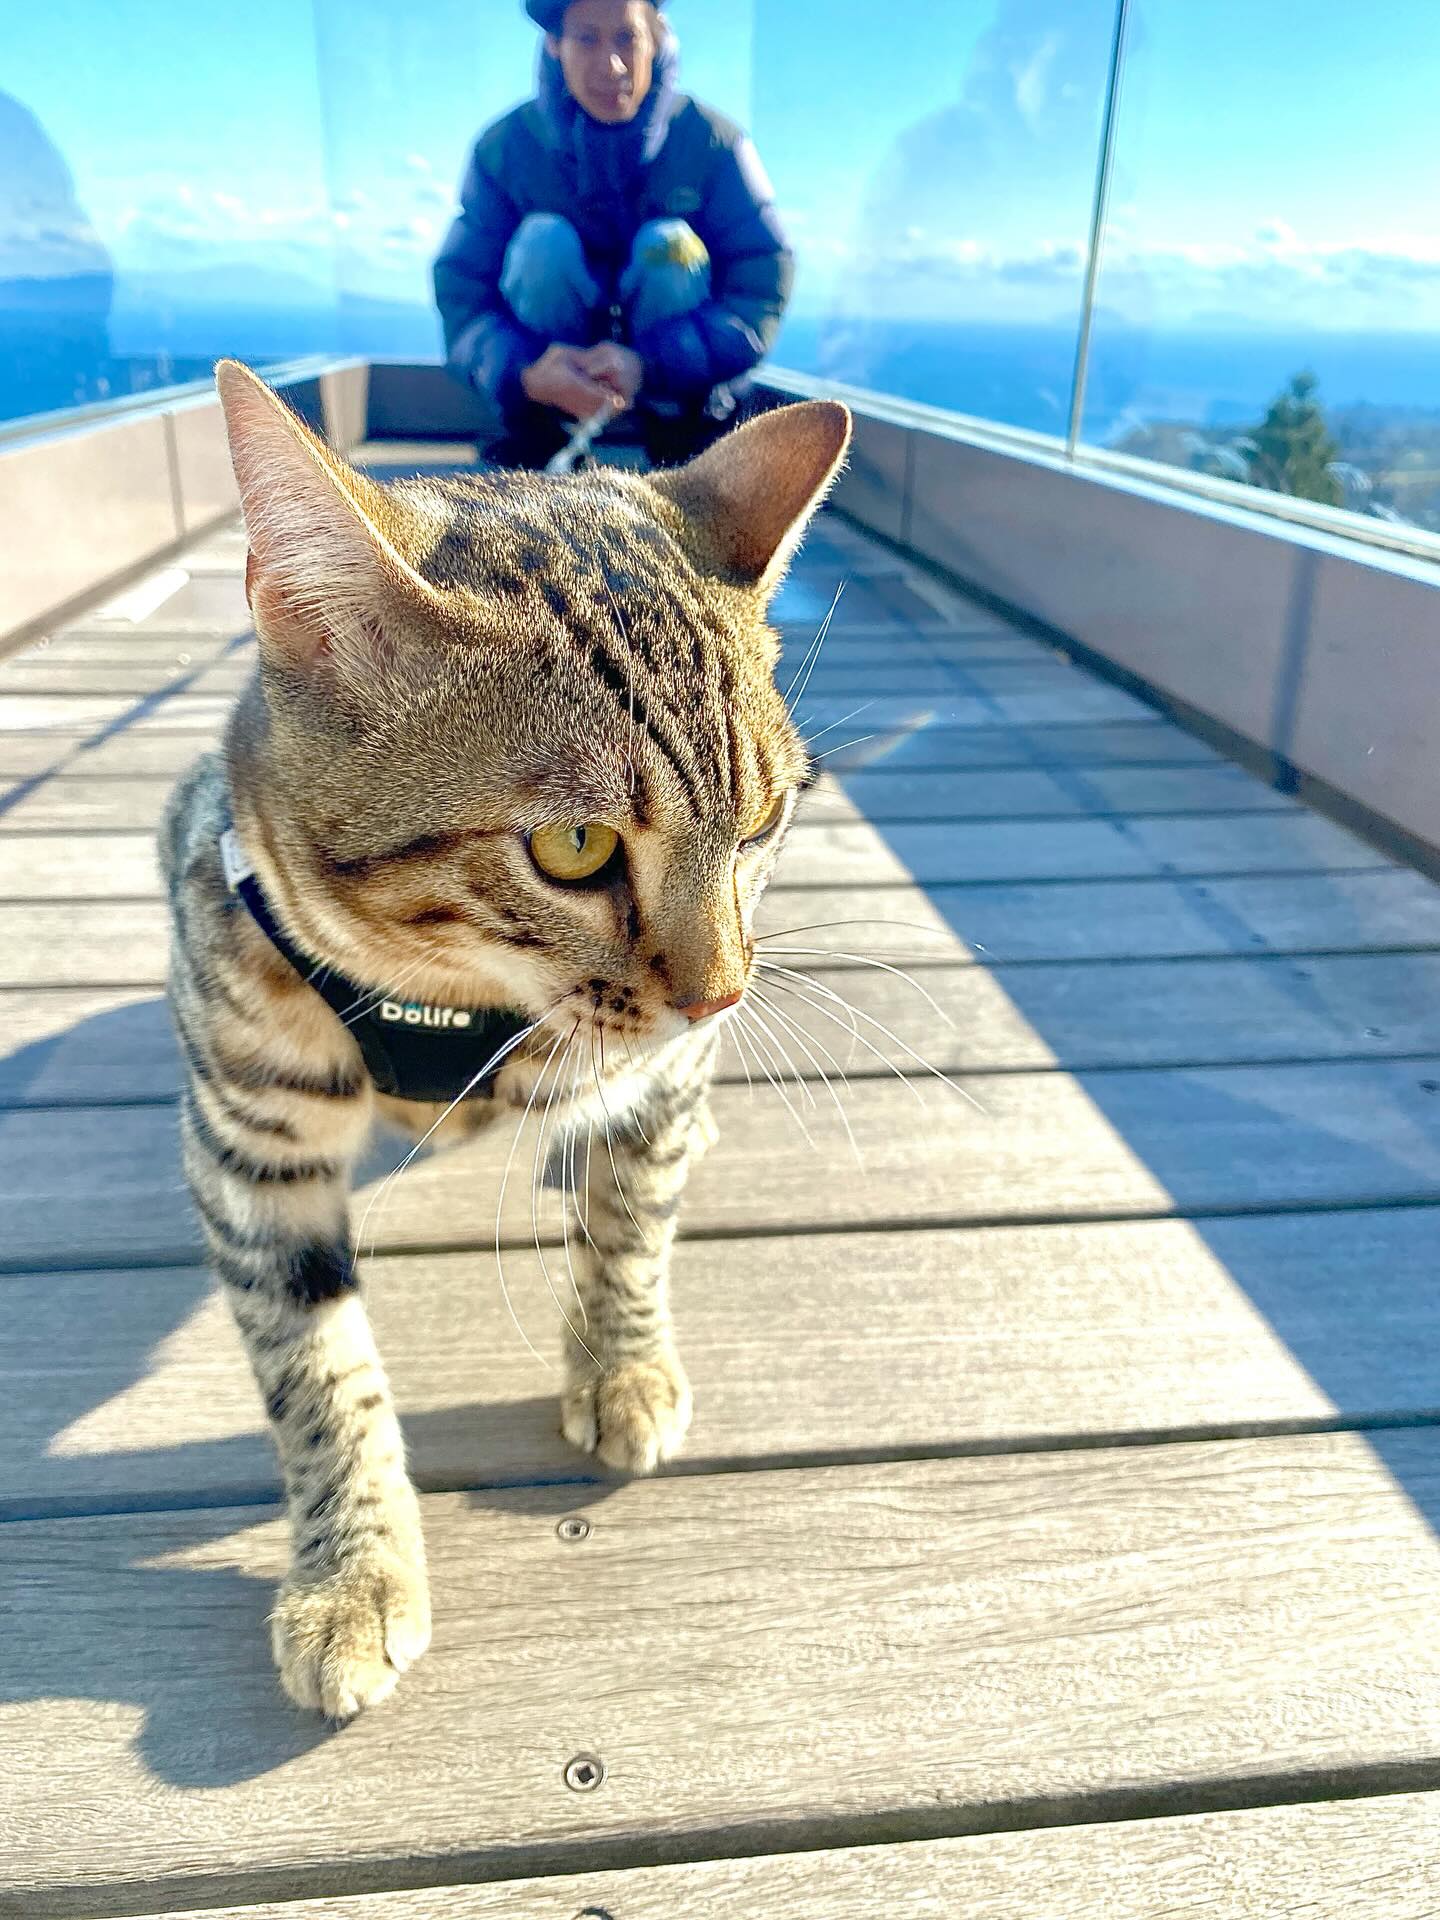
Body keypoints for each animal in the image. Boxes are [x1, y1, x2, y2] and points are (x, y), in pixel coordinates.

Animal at [160, 360, 850, 1717]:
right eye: (573, 847)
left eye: (764, 823)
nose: (723, 996)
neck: (445, 997)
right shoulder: (252, 1145)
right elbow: (314, 1368)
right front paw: (353, 1574)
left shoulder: (657, 1074)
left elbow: (630, 1225)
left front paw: (622, 1364)